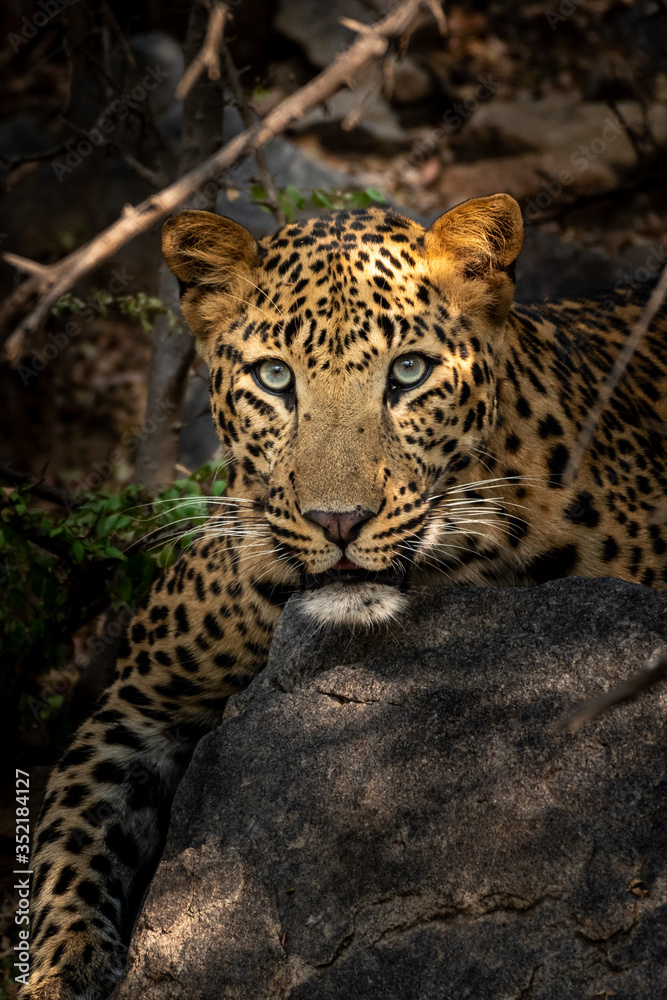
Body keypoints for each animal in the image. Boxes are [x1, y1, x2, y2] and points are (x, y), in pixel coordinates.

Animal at [20, 191, 667, 996]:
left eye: (409, 372)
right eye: (274, 378)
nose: (337, 521)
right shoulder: (139, 704)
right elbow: (70, 834)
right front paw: (61, 969)